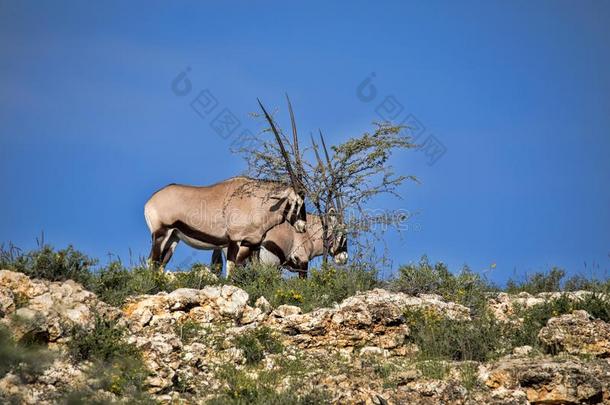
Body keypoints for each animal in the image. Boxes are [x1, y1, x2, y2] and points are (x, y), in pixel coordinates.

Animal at [143, 98, 304, 276]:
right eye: (294, 202)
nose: (302, 226)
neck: (258, 202)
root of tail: (151, 200)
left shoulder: (251, 245)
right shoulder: (234, 240)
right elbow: (231, 271)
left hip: (174, 237)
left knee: (160, 264)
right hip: (161, 233)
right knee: (151, 261)